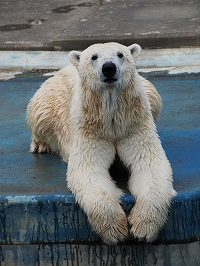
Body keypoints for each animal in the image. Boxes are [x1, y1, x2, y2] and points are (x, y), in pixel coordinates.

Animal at [27, 42, 176, 245]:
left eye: (120, 54)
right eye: (94, 57)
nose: (109, 68)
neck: (110, 121)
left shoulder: (133, 124)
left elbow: (150, 166)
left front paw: (143, 228)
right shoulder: (90, 129)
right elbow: (89, 171)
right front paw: (116, 231)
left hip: (147, 92)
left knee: (154, 96)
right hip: (49, 99)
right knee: (38, 114)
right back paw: (40, 145)